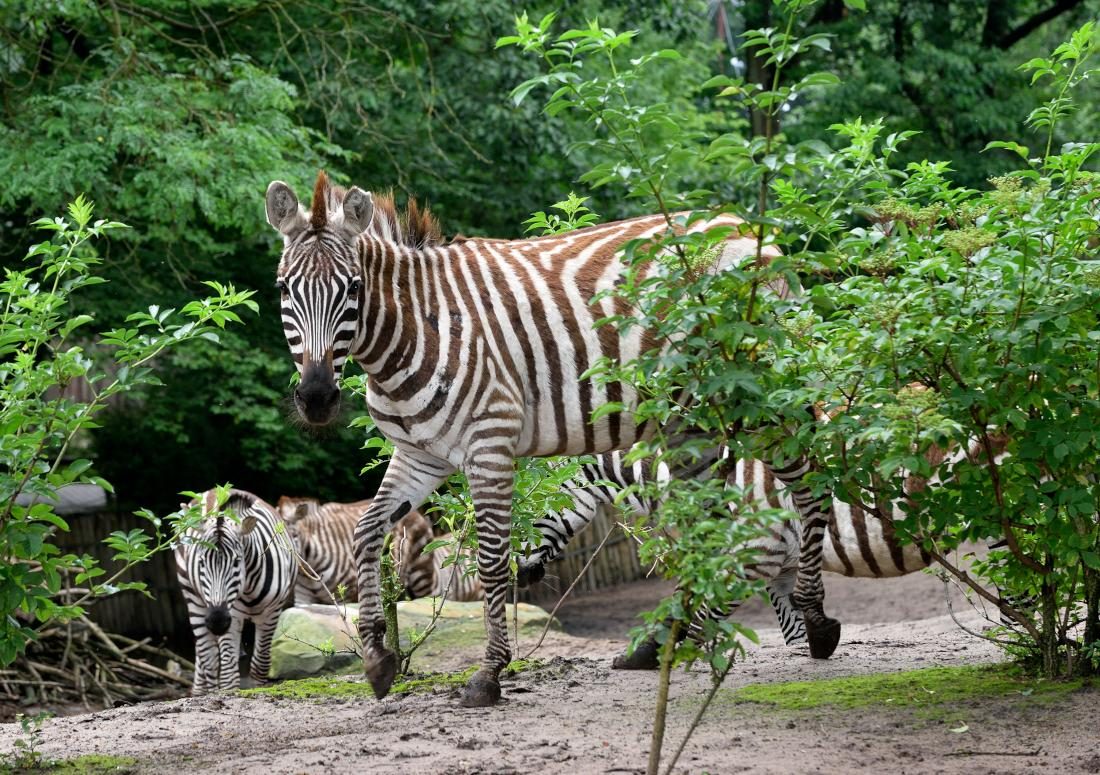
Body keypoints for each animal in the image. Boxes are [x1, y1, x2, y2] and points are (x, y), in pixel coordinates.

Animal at [174, 485, 297, 690]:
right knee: (208, 657)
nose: (216, 621)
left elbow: (260, 664)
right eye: (201, 563)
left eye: (237, 562)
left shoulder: (271, 613)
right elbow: (228, 674)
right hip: (192, 595)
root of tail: (211, 491)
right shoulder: (233, 615)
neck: (249, 586)